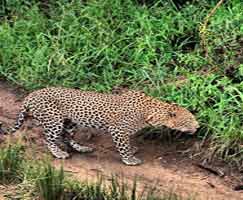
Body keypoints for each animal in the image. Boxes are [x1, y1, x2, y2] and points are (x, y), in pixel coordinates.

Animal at [7, 87, 198, 166]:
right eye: (189, 119)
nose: (198, 126)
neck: (154, 112)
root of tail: (30, 96)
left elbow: (128, 143)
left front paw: (132, 150)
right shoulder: (118, 130)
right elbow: (123, 147)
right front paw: (129, 159)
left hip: (70, 122)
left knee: (66, 137)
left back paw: (82, 148)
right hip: (53, 120)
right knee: (50, 139)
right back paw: (59, 153)